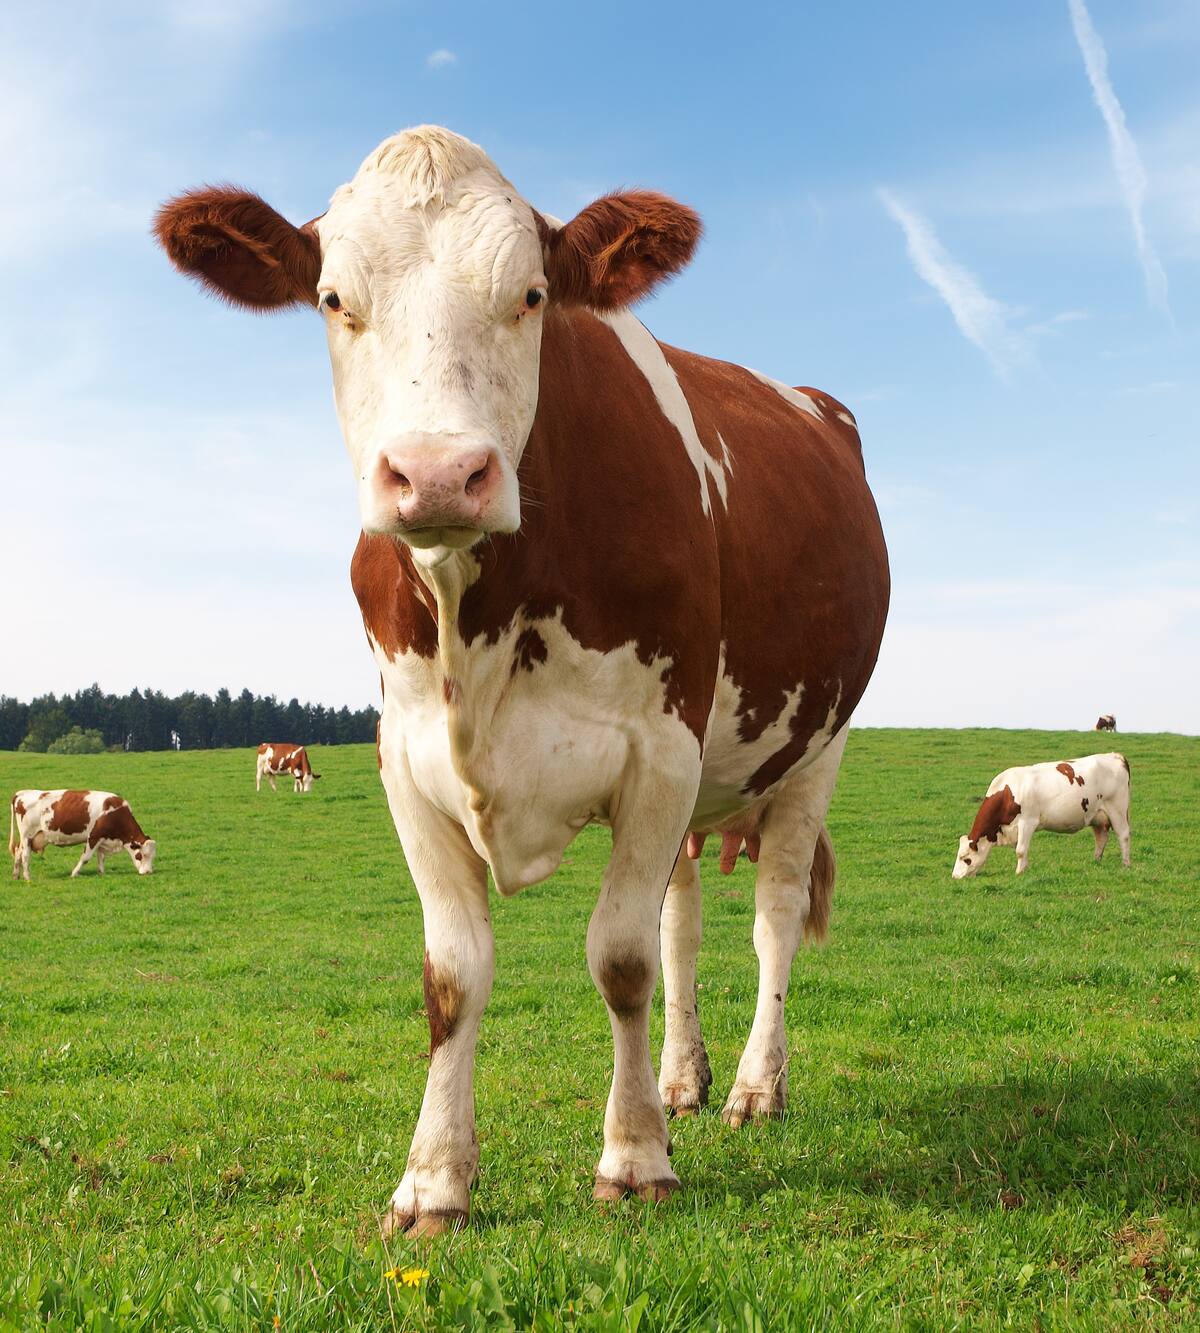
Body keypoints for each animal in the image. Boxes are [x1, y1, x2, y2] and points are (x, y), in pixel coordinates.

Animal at [9, 789, 157, 881]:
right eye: (141, 855)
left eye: (152, 856)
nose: (148, 872)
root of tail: (22, 793)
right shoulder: (93, 837)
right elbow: (86, 858)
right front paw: (74, 874)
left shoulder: (103, 839)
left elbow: (101, 857)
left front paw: (102, 873)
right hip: (27, 835)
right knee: (25, 855)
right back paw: (27, 877)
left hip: (28, 838)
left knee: (18, 851)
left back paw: (16, 875)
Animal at [155, 126, 890, 1236]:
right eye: (332, 298)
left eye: (533, 295)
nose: (438, 474)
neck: (478, 614)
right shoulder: (406, 762)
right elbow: (455, 976)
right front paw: (433, 1181)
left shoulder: (658, 750)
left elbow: (619, 959)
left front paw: (634, 1161)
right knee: (683, 920)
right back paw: (681, 1079)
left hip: (816, 747)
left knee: (772, 912)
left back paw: (755, 1086)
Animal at [952, 753, 1131, 879]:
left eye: (964, 857)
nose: (955, 877)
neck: (1008, 793)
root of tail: (1116, 756)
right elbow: (1021, 849)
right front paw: (1024, 868)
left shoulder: (1027, 821)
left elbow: (1020, 850)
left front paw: (1019, 873)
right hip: (1097, 816)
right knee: (1101, 838)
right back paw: (1095, 862)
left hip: (1118, 810)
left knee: (1123, 835)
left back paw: (1125, 864)